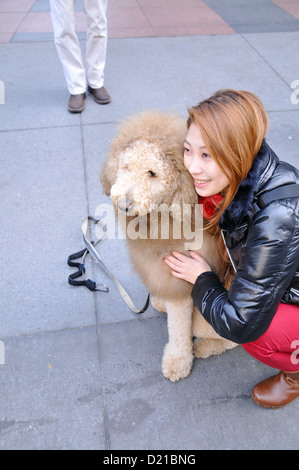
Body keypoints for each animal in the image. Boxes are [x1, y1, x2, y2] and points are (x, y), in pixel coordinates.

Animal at [100, 111, 237, 382]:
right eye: (126, 166)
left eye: (152, 173)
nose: (124, 204)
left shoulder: (182, 278)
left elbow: (178, 328)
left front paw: (177, 361)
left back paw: (204, 347)